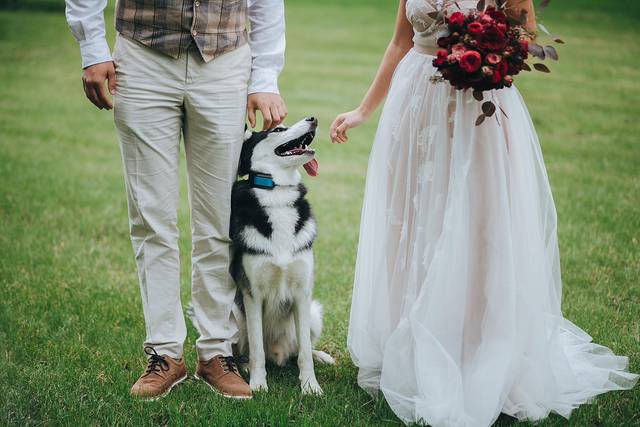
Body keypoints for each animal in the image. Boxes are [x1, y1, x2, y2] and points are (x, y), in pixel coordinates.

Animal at [230, 116, 336, 394]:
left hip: (313, 312)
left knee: (298, 349)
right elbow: (256, 349)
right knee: (244, 351)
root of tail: (276, 354)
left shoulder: (302, 293)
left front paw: (310, 386)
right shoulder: (252, 294)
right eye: (278, 129)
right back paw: (243, 367)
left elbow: (305, 353)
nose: (313, 118)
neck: (277, 192)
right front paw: (257, 384)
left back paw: (322, 356)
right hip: (234, 313)